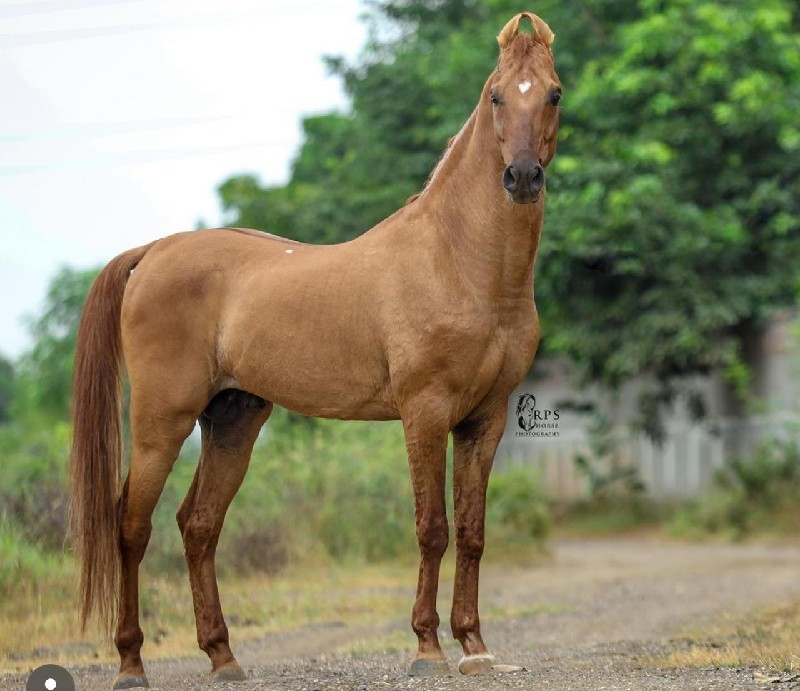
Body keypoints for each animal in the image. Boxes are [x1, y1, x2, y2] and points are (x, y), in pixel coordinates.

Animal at [70, 13, 564, 688]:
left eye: (553, 94)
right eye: (495, 96)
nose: (521, 178)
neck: (457, 261)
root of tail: (152, 252)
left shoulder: (484, 420)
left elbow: (472, 531)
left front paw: (476, 646)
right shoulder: (425, 413)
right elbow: (431, 528)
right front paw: (427, 648)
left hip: (233, 419)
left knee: (199, 526)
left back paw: (224, 657)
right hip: (160, 421)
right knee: (131, 526)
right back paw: (130, 662)